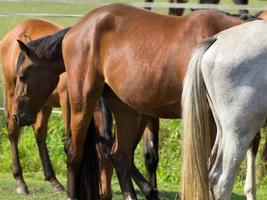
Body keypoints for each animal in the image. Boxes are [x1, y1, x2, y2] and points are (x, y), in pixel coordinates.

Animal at [11, 4, 262, 200]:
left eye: (22, 75)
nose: (16, 114)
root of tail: (79, 27)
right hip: (85, 101)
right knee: (76, 152)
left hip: (128, 111)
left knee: (119, 155)